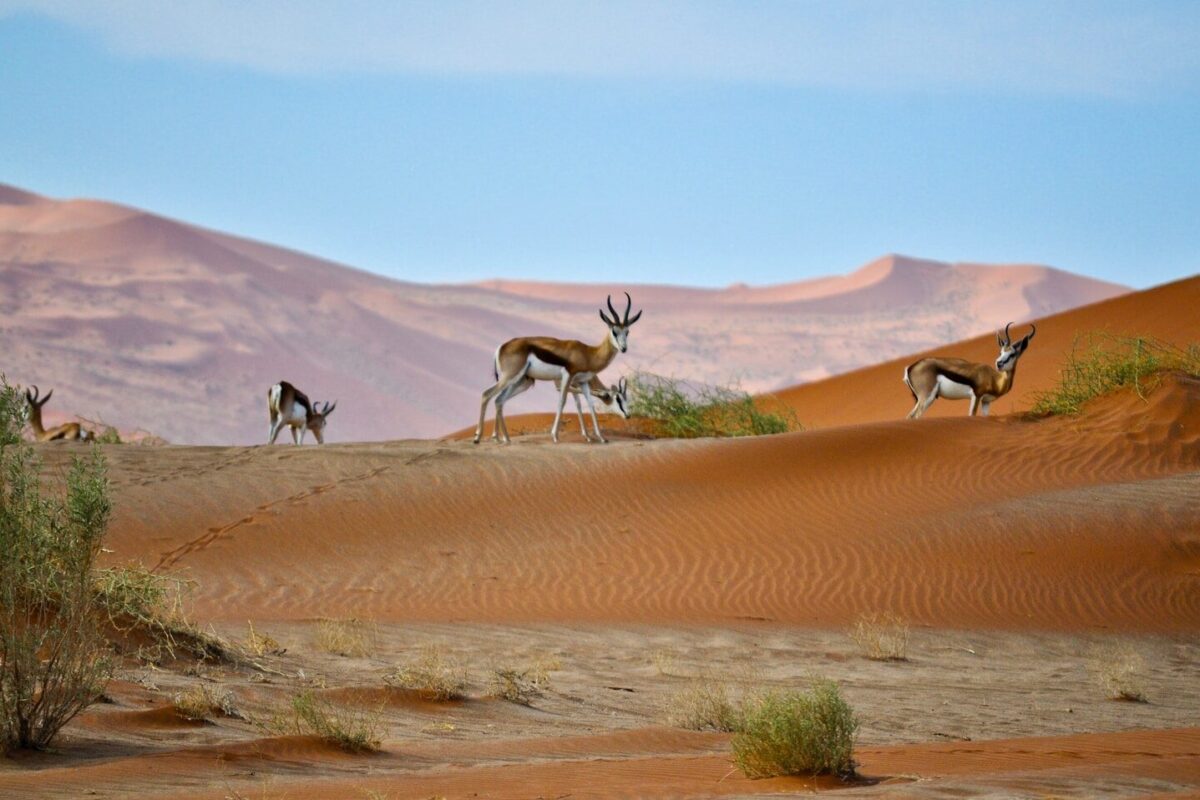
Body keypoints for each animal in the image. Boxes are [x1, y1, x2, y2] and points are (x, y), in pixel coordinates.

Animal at [474, 293, 643, 444]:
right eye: (614, 331)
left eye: (627, 332)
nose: (624, 348)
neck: (588, 353)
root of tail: (502, 346)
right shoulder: (567, 377)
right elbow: (562, 401)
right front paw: (555, 436)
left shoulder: (582, 381)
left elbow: (589, 404)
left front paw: (600, 438)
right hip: (510, 377)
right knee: (486, 394)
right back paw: (478, 437)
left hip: (521, 381)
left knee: (499, 400)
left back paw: (504, 439)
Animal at [903, 322, 1037, 419]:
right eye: (1001, 352)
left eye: (1012, 354)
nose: (999, 363)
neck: (994, 379)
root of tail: (910, 367)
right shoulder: (976, 396)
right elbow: (971, 415)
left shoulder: (986, 402)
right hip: (927, 398)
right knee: (914, 417)